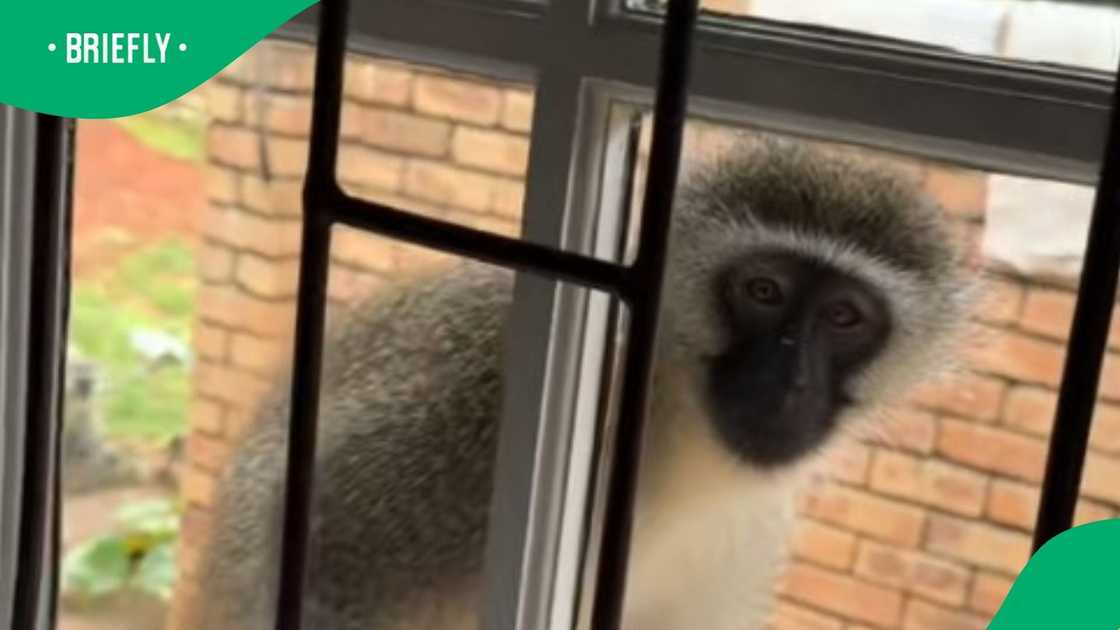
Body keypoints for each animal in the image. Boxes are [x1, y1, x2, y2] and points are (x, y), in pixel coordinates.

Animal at [194, 138, 976, 630]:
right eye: (763, 291)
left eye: (843, 317)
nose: (788, 380)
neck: (672, 415)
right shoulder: (474, 425)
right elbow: (331, 542)